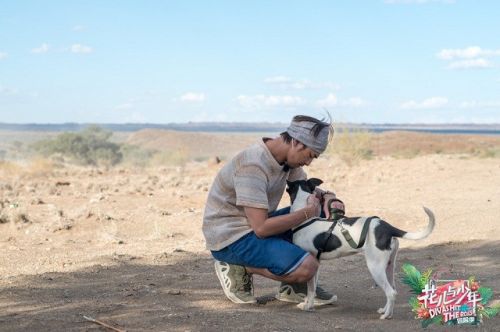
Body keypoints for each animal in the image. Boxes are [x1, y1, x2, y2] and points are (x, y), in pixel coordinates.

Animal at [288, 179, 436, 320]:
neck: (305, 219)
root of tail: (387, 227)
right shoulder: (317, 264)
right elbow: (312, 289)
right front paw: (309, 304)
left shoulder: (311, 260)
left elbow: (310, 289)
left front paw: (308, 306)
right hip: (389, 266)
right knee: (393, 289)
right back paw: (385, 311)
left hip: (375, 267)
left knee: (391, 292)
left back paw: (385, 316)